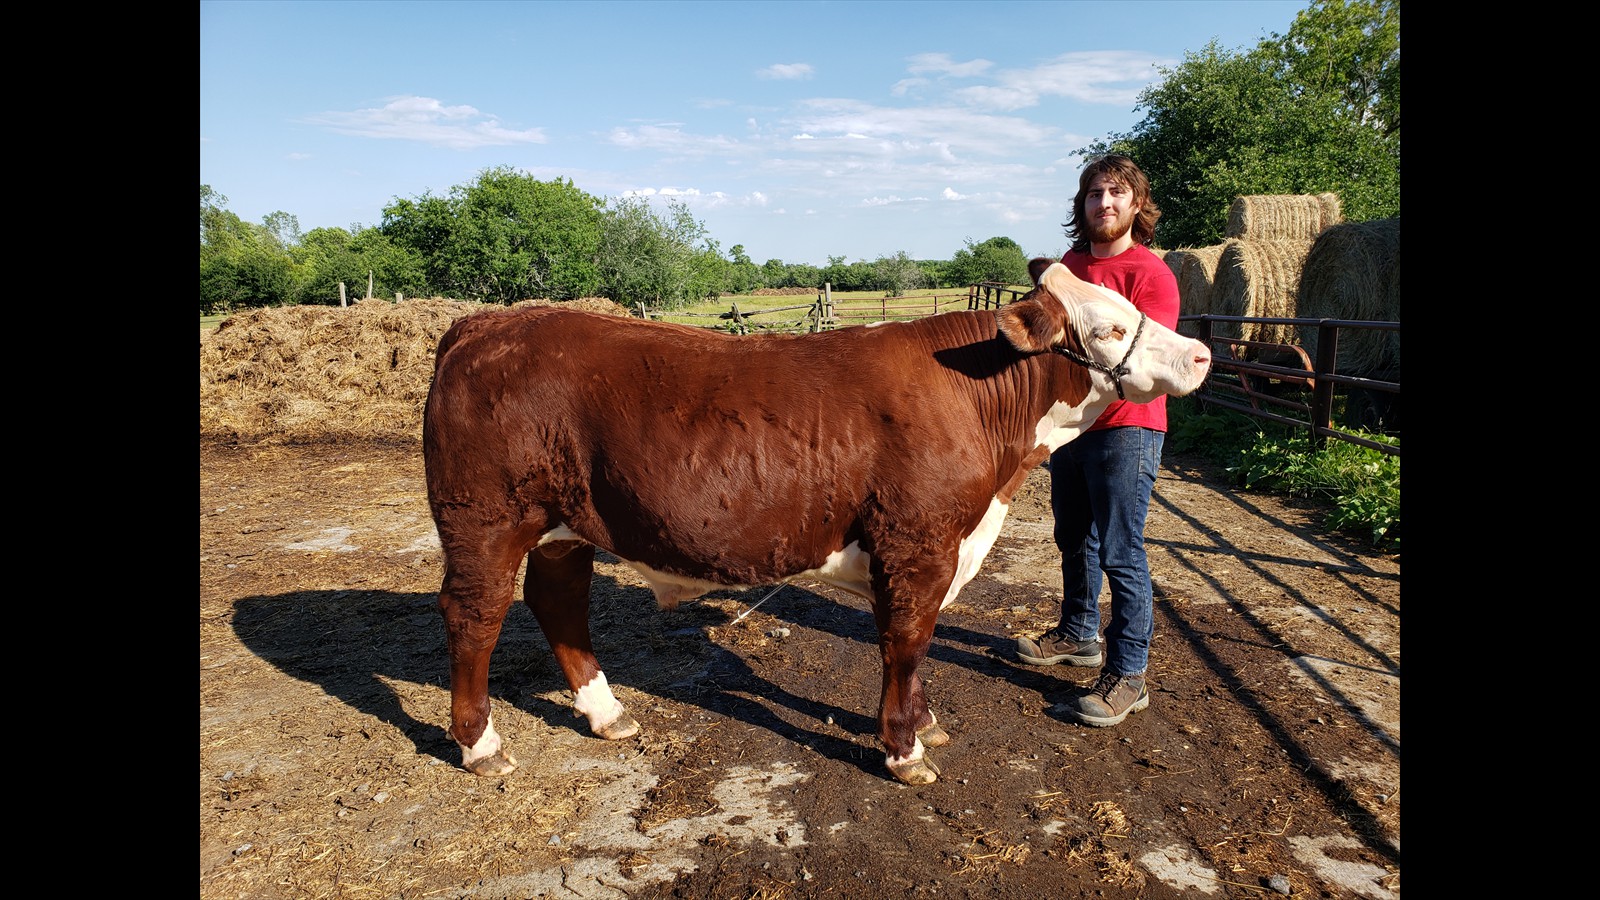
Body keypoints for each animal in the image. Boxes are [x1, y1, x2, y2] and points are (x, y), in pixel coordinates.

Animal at [425, 257, 1209, 778]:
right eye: (1109, 327)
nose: (1201, 353)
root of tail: (482, 323)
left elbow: (910, 651)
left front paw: (923, 723)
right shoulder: (917, 546)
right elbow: (906, 644)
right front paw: (904, 749)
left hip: (563, 528)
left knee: (557, 601)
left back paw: (606, 713)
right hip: (485, 519)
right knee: (475, 615)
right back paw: (480, 745)